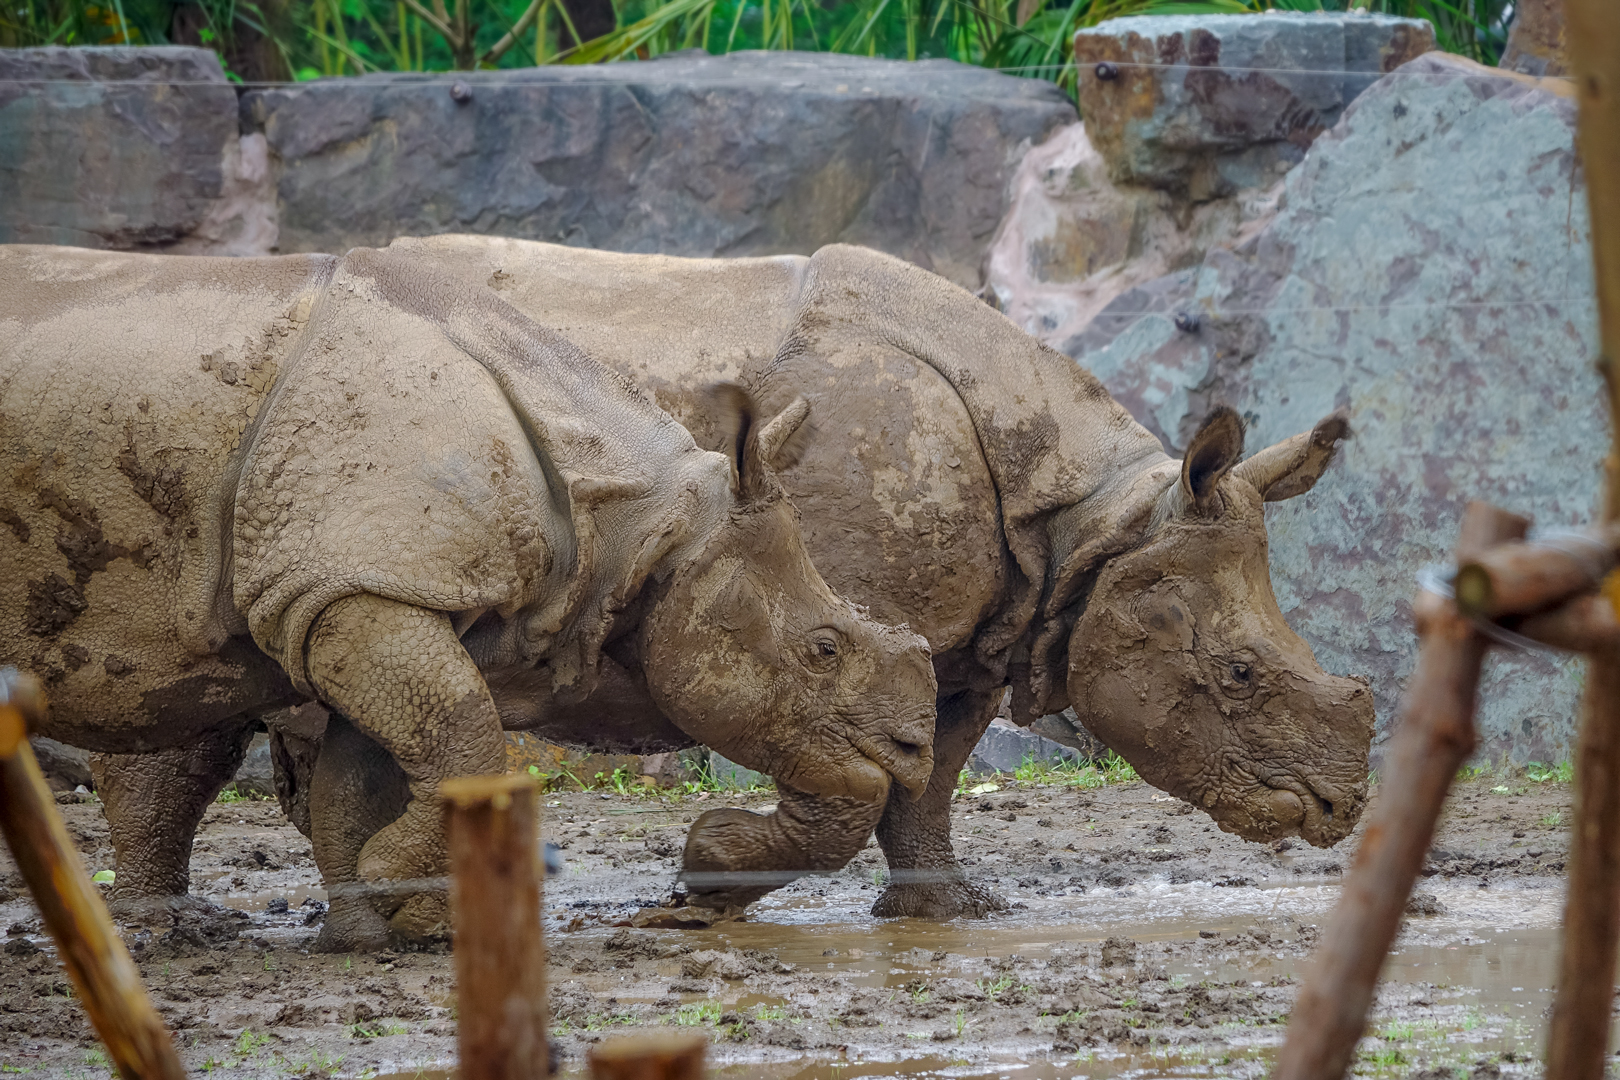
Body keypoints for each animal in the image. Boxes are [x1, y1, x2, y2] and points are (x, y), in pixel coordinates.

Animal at [0, 244, 937, 950]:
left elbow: (368, 777)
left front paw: (377, 924)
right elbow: (465, 738)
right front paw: (405, 901)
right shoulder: (350, 591)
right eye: (822, 650)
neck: (645, 522)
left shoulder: (366, 589)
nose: (913, 755)